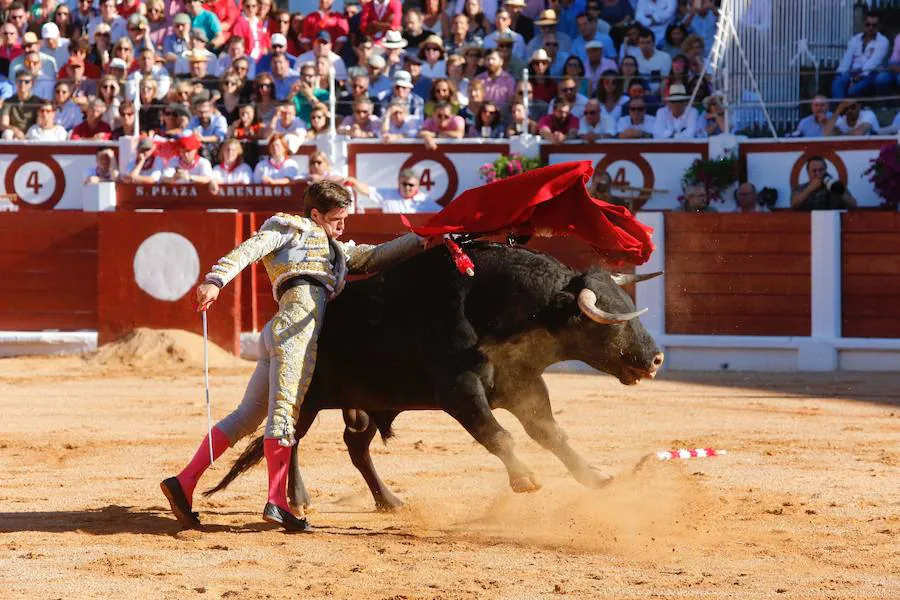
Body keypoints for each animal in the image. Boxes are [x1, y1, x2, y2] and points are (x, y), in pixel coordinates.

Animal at [207, 241, 664, 508]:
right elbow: (497, 434)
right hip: (306, 397)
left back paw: (389, 501)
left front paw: (597, 479)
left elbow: (550, 433)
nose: (656, 358)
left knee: (354, 447)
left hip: (366, 404)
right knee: (291, 440)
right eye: (610, 324)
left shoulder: (522, 383)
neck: (491, 303)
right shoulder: (459, 390)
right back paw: (298, 500)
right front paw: (525, 480)